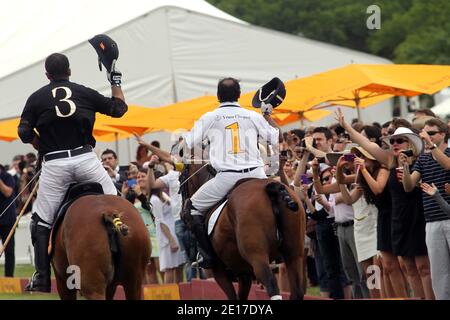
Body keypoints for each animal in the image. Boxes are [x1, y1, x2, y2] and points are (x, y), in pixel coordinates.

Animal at [180, 162, 306, 300]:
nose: (181, 212)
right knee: (297, 291)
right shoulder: (244, 273)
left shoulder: (220, 271)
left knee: (271, 284)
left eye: (180, 179)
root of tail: (273, 187)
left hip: (257, 256)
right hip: (294, 255)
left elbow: (232, 297)